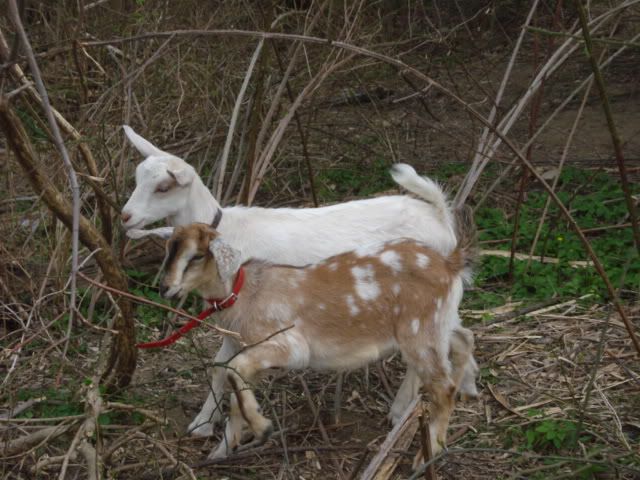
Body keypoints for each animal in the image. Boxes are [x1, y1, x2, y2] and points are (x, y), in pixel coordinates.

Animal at [121, 126, 478, 435]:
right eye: (137, 179)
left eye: (163, 187)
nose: (125, 216)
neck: (229, 234)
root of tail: (440, 218)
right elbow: (221, 366)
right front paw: (203, 424)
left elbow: (226, 366)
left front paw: (209, 424)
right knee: (461, 335)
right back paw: (468, 384)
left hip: (420, 307)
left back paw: (401, 409)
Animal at [160, 223, 475, 460]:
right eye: (169, 249)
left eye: (196, 256)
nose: (165, 288)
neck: (247, 293)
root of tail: (449, 263)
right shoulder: (249, 350)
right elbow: (232, 378)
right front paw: (223, 448)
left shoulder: (289, 345)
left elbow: (233, 369)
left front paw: (262, 428)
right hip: (439, 322)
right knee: (462, 339)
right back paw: (463, 390)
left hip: (420, 328)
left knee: (443, 387)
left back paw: (428, 451)